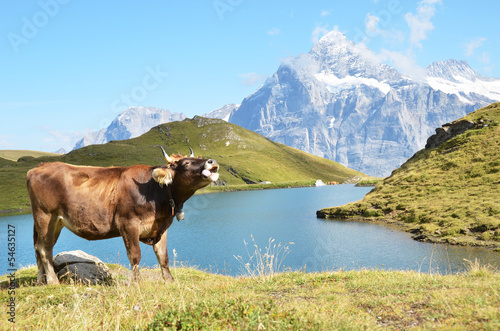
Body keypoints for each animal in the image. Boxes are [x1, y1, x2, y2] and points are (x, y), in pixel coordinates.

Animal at [26, 148, 219, 286]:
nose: (212, 161)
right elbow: (135, 255)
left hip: (55, 222)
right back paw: (52, 281)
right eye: (186, 163)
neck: (156, 191)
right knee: (44, 248)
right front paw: (137, 283)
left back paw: (40, 281)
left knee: (38, 247)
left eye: (200, 157)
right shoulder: (128, 223)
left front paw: (169, 281)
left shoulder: (161, 227)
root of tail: (39, 167)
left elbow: (163, 256)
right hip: (45, 216)